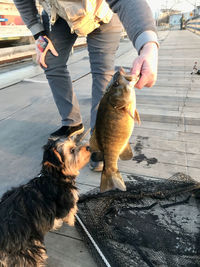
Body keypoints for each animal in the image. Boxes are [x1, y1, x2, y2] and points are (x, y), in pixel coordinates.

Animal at [0, 138, 90, 267]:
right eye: (72, 150)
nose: (88, 147)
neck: (52, 175)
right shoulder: (67, 199)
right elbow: (70, 212)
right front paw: (71, 221)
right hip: (27, 249)